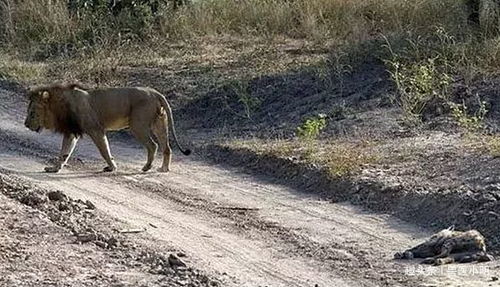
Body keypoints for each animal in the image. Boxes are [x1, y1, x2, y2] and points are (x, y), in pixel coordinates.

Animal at [24, 82, 190, 173]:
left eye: (32, 113)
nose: (25, 125)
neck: (59, 106)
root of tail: (155, 92)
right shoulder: (71, 132)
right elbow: (64, 152)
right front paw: (55, 168)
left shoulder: (96, 129)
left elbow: (104, 151)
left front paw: (112, 167)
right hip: (159, 123)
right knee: (167, 147)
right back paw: (164, 168)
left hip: (138, 125)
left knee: (153, 145)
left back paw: (146, 167)